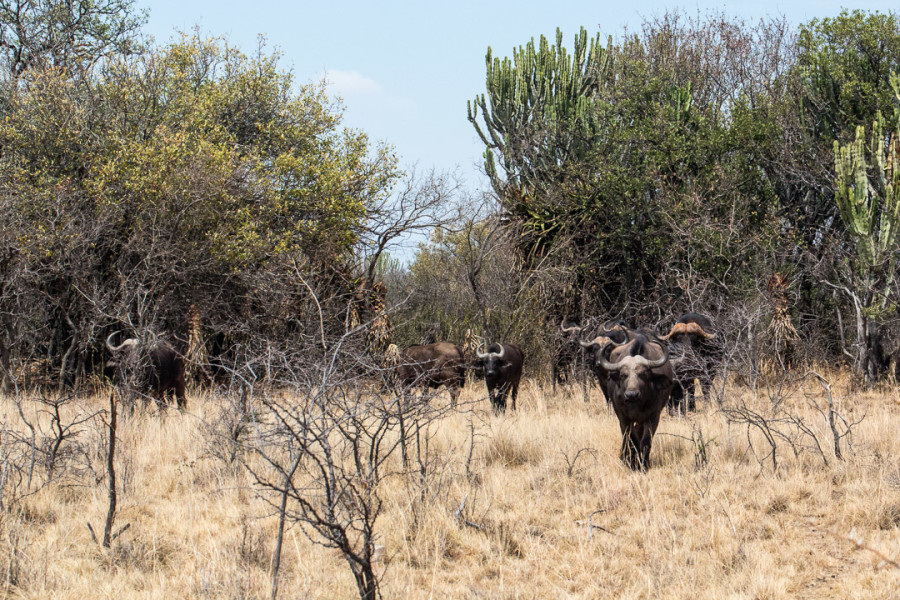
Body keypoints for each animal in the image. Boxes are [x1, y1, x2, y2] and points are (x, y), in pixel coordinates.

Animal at [596, 332, 672, 468]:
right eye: (623, 375)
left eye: (642, 374)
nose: (632, 395)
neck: (637, 405)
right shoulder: (623, 418)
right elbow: (632, 440)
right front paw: (632, 463)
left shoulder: (653, 417)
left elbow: (645, 442)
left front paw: (644, 464)